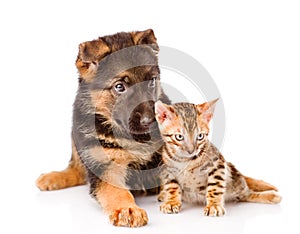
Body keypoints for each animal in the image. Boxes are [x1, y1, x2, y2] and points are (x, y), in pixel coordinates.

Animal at [35, 29, 169, 227]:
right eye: (120, 87)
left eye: (152, 81)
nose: (150, 121)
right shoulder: (105, 166)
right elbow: (116, 191)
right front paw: (127, 209)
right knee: (76, 169)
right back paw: (53, 177)